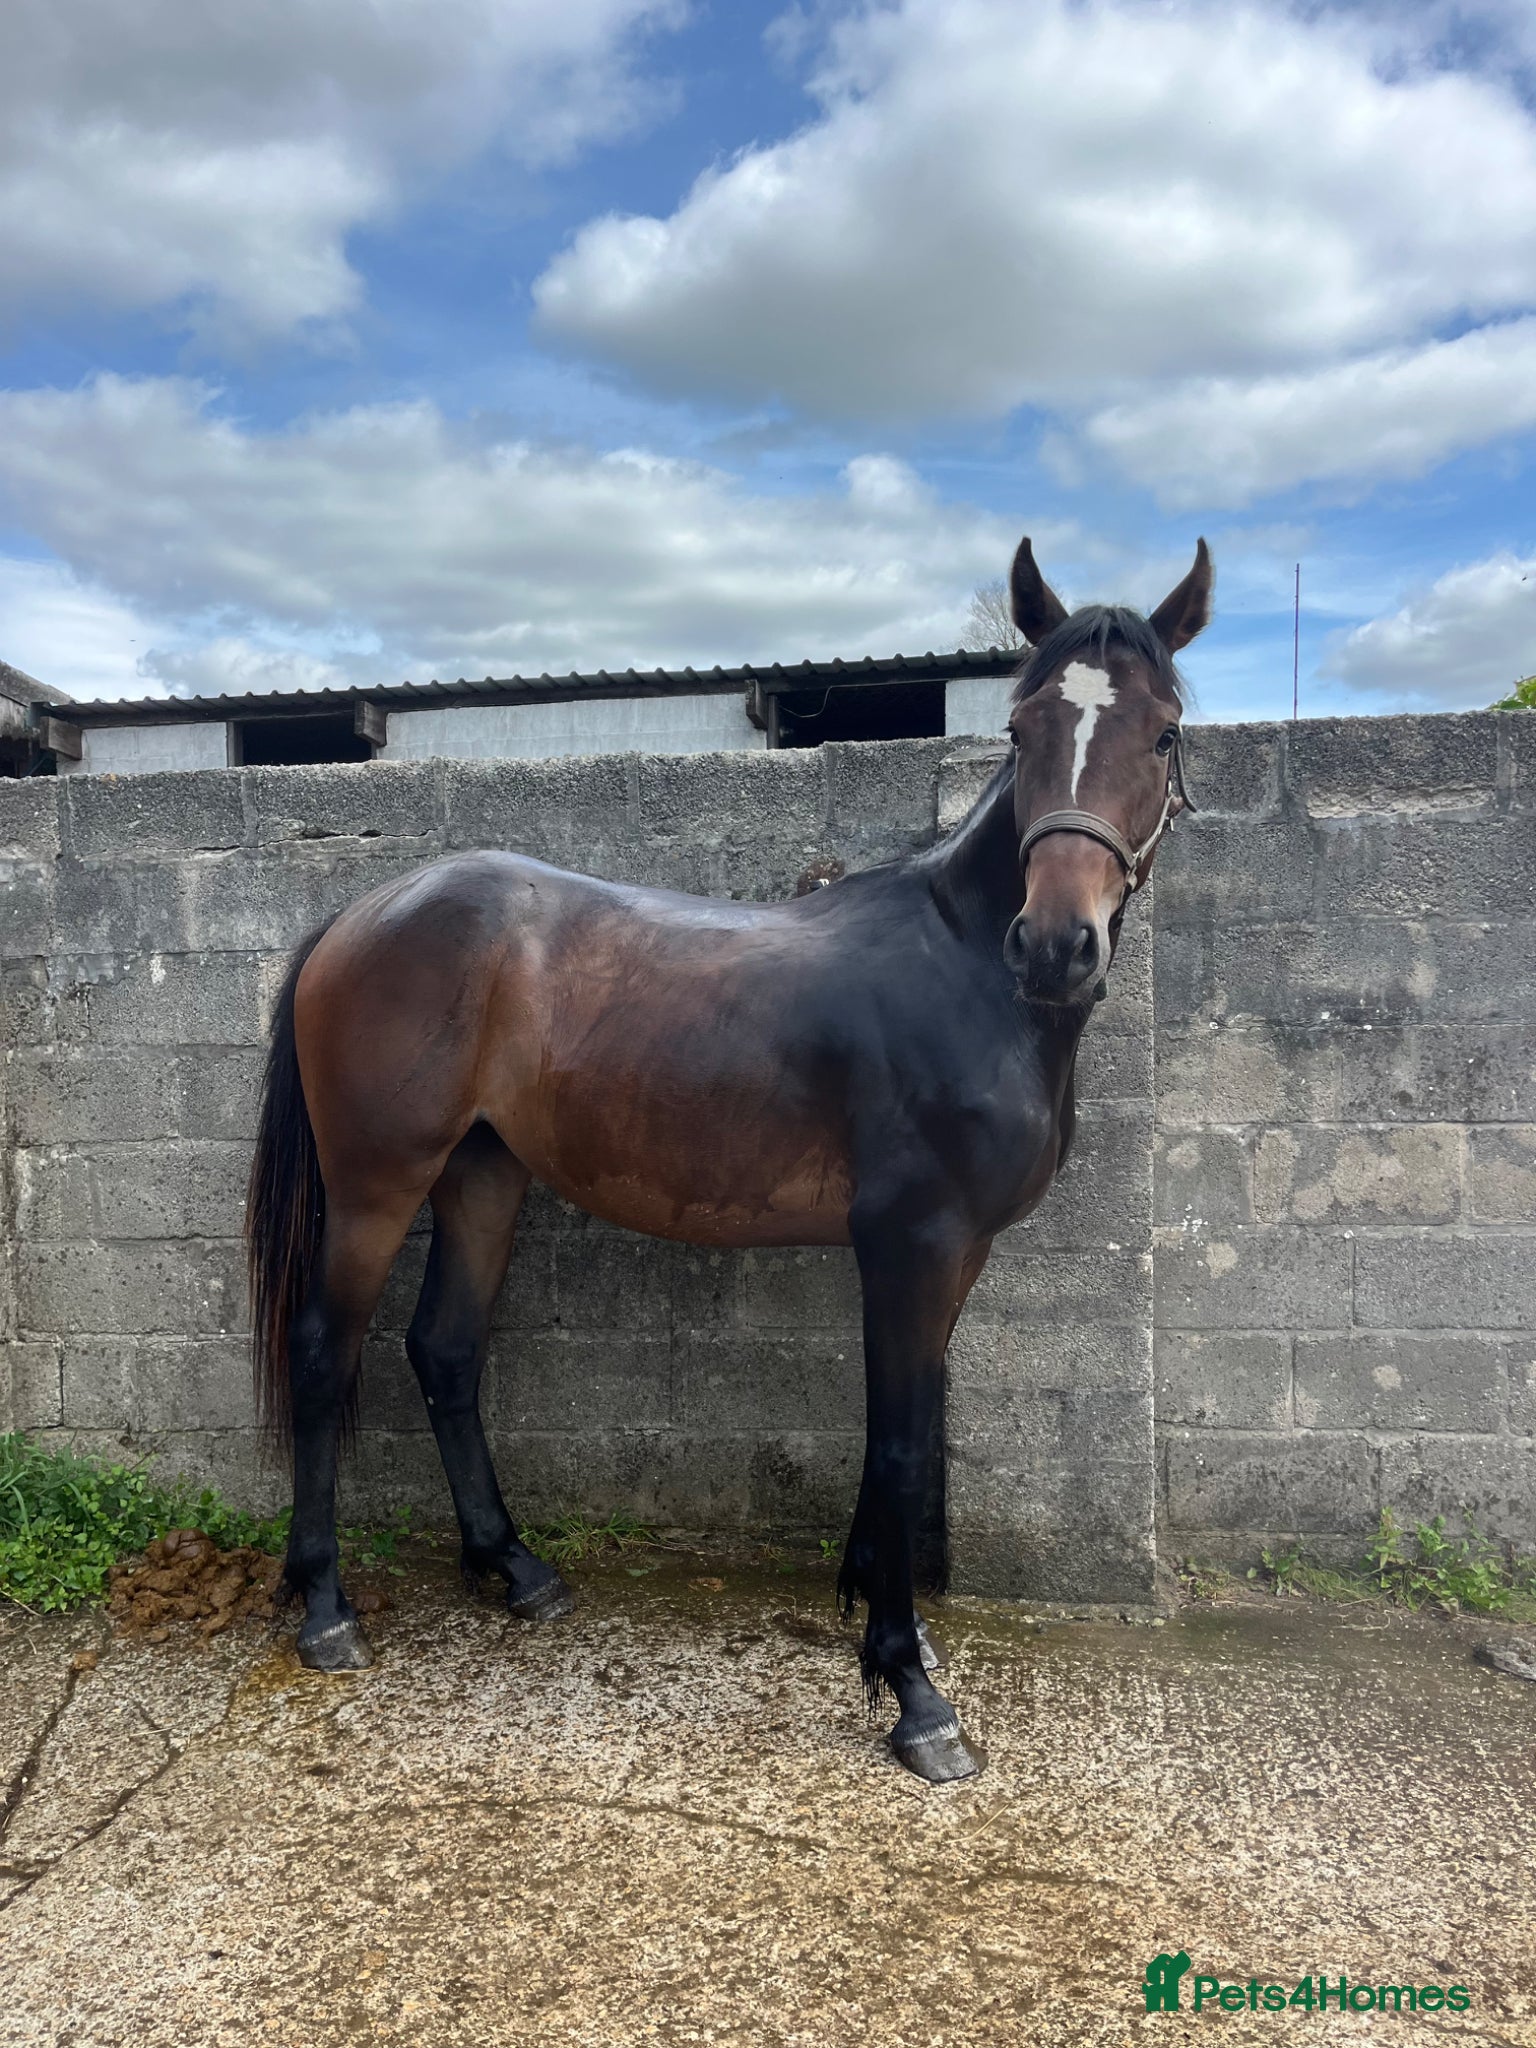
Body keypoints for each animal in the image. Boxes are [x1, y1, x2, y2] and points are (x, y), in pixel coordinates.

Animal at [246, 535, 1211, 1783]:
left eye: (1164, 732)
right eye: (1020, 726)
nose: (1055, 945)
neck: (961, 970)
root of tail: (359, 913)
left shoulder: (955, 1253)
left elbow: (900, 1434)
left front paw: (889, 1631)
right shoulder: (911, 1242)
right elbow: (903, 1443)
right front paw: (913, 1694)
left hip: (484, 1175)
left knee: (446, 1351)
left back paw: (516, 1567)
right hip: (377, 1183)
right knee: (325, 1353)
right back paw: (326, 1608)